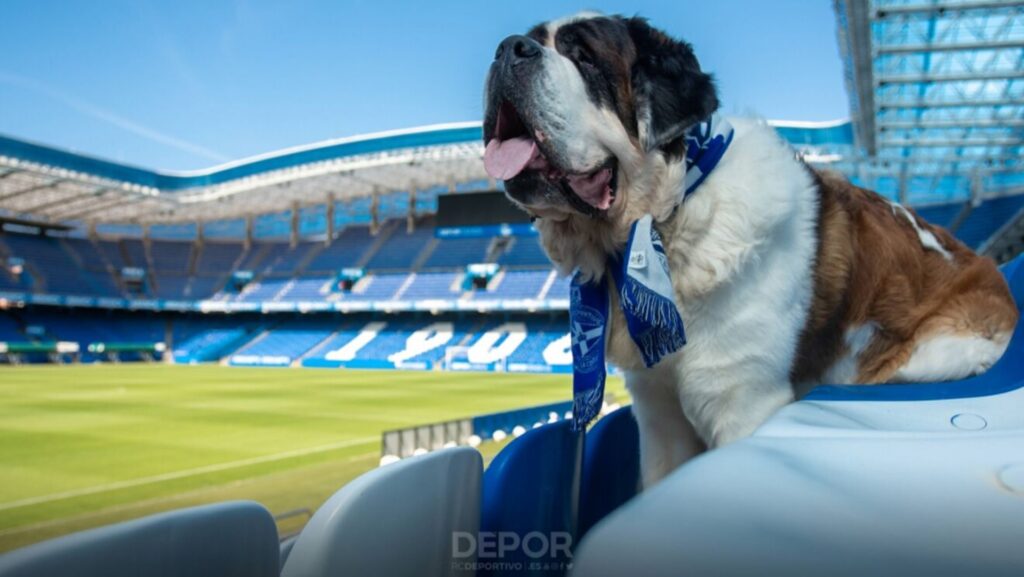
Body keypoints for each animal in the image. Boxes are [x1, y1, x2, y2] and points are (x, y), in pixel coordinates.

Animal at [483, 12, 1019, 487]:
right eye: (533, 40)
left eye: (584, 56)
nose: (508, 48)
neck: (670, 217)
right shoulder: (658, 413)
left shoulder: (741, 400)